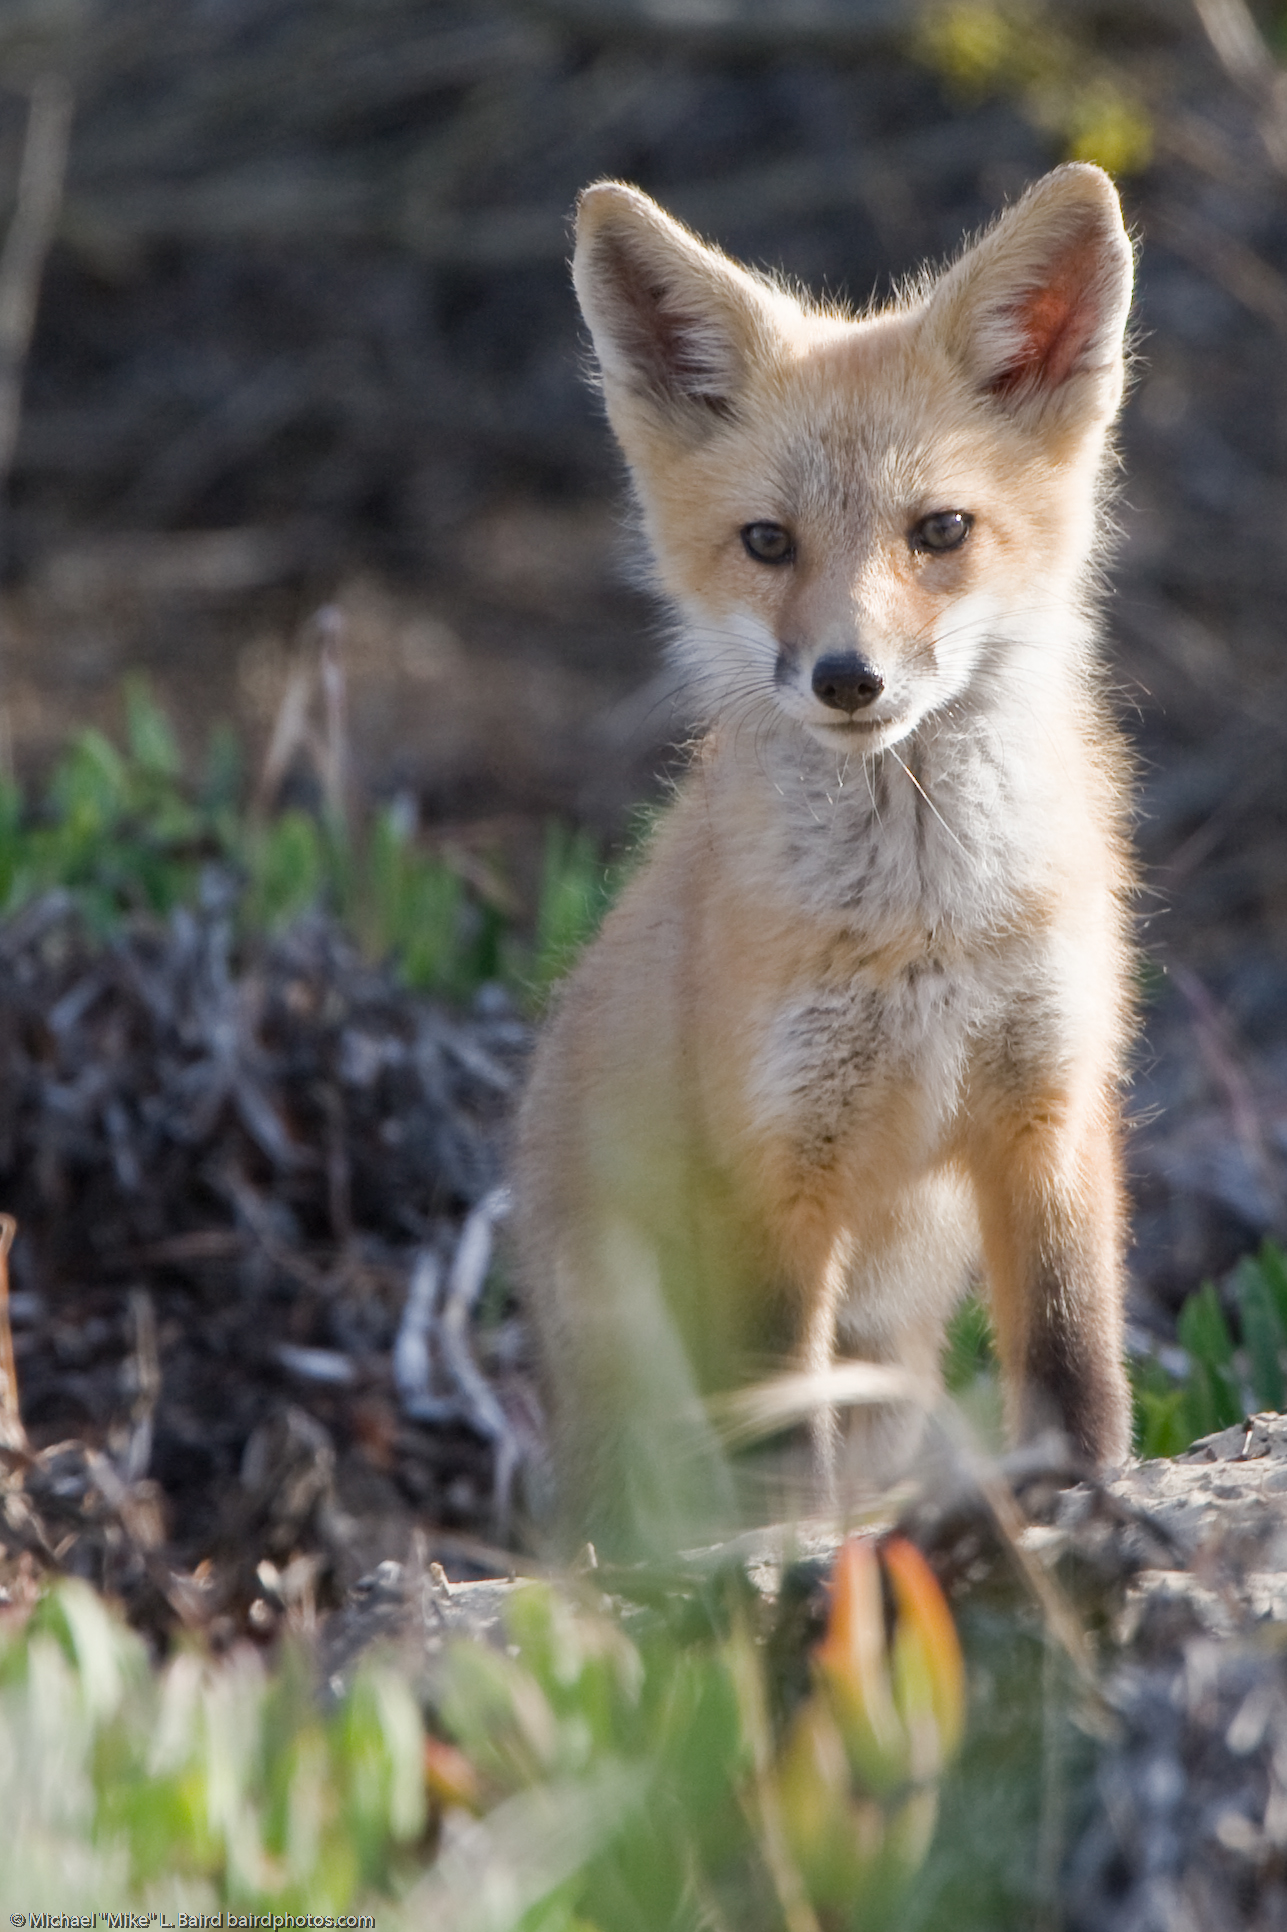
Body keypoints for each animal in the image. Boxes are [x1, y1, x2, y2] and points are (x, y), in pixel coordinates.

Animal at [510, 162, 1136, 1553]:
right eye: (767, 543)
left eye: (939, 531)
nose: (848, 678)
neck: (925, 924)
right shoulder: (775, 1158)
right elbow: (779, 1427)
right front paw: (790, 1557)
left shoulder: (1051, 1102)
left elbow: (1071, 1343)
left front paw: (1085, 1494)